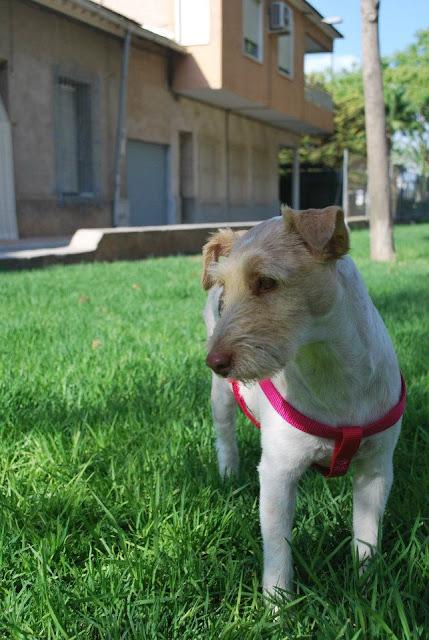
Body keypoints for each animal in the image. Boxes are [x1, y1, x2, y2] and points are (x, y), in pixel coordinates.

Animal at [201, 208, 404, 596]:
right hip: (221, 400)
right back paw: (228, 473)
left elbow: (367, 536)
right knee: (225, 437)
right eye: (224, 297)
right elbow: (278, 550)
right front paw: (277, 604)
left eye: (266, 282)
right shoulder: (277, 475)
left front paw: (366, 586)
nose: (215, 362)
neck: (332, 373)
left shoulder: (376, 469)